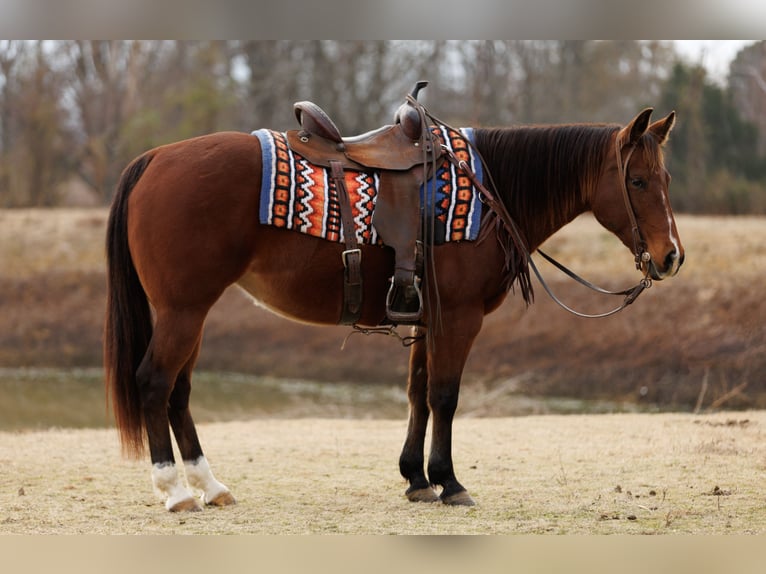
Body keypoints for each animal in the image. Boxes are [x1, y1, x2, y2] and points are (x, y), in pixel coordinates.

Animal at [104, 106, 683, 511]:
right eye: (636, 181)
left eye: (666, 180)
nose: (671, 256)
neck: (488, 193)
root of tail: (155, 158)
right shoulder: (460, 318)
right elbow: (445, 397)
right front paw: (449, 481)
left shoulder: (428, 320)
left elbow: (417, 394)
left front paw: (416, 479)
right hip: (182, 310)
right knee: (154, 382)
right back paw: (175, 491)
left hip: (191, 312)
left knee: (179, 392)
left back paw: (210, 485)